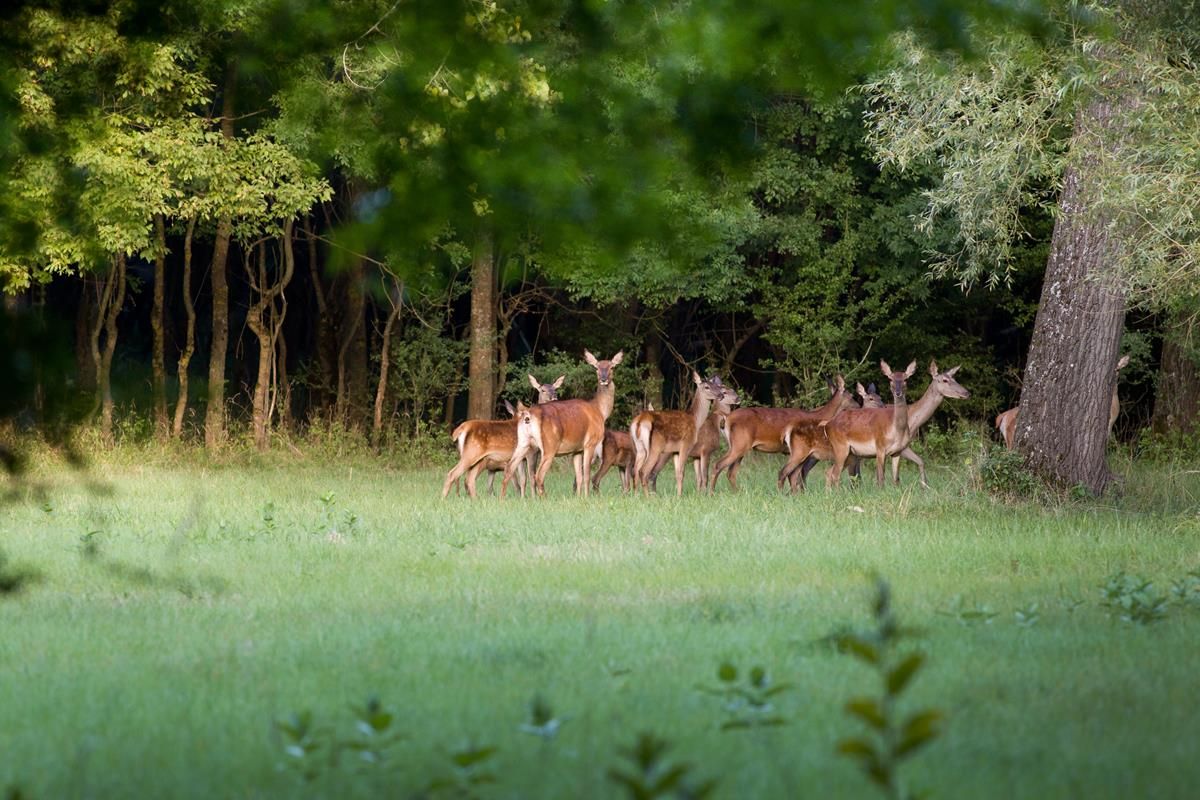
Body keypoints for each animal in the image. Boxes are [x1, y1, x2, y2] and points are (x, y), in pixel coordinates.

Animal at [502, 350, 624, 497]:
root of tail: (527, 415)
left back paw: (502, 499)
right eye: (596, 367)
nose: (604, 379)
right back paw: (544, 498)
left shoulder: (576, 450)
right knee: (538, 475)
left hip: (523, 442)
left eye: (612, 367)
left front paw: (579, 498)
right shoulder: (590, 443)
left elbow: (579, 477)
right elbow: (587, 475)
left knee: (509, 469)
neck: (599, 411)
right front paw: (587, 497)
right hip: (549, 445)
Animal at [708, 375, 856, 493]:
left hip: (740, 446)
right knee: (718, 465)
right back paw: (711, 492)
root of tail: (727, 417)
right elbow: (798, 475)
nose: (858, 406)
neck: (819, 416)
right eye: (852, 396)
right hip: (739, 444)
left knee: (731, 472)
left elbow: (795, 476)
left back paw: (737, 492)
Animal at [824, 360, 969, 489]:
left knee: (834, 472)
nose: (967, 392)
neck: (913, 420)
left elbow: (916, 464)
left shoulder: (900, 448)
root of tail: (827, 424)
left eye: (954, 378)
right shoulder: (893, 449)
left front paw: (925, 487)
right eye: (945, 380)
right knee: (838, 473)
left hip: (852, 453)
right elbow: (882, 476)